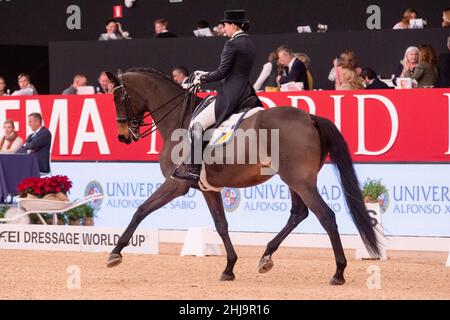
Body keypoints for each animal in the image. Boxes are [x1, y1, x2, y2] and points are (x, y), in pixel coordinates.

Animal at [104, 68, 380, 284]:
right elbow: (221, 225)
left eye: (118, 97)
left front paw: (115, 253)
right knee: (298, 214)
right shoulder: (208, 188)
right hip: (295, 180)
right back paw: (266, 256)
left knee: (326, 216)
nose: (123, 136)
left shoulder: (175, 184)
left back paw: (338, 272)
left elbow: (141, 210)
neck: (178, 121)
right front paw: (229, 267)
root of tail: (310, 117)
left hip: (300, 181)